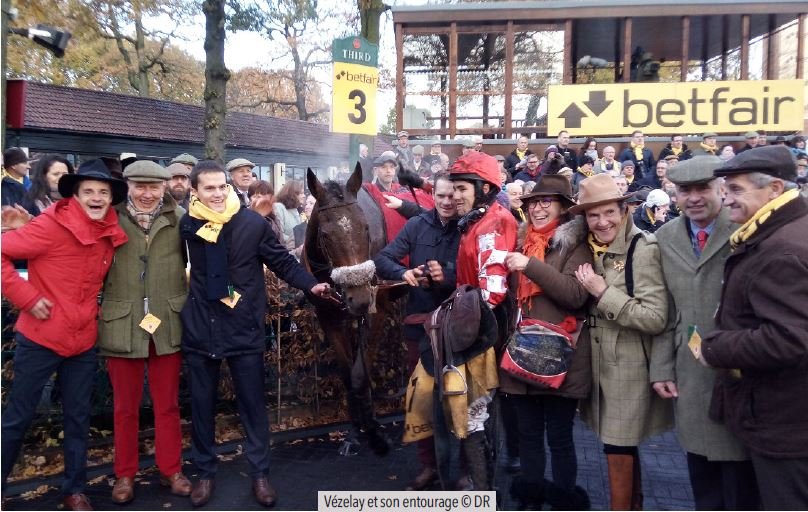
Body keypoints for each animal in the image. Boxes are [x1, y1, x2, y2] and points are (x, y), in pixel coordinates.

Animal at [303, 163, 405, 456]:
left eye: (366, 228)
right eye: (325, 235)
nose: (359, 298)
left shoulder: (377, 310)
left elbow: (361, 373)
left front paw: (374, 431)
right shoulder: (329, 316)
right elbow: (348, 375)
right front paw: (353, 432)